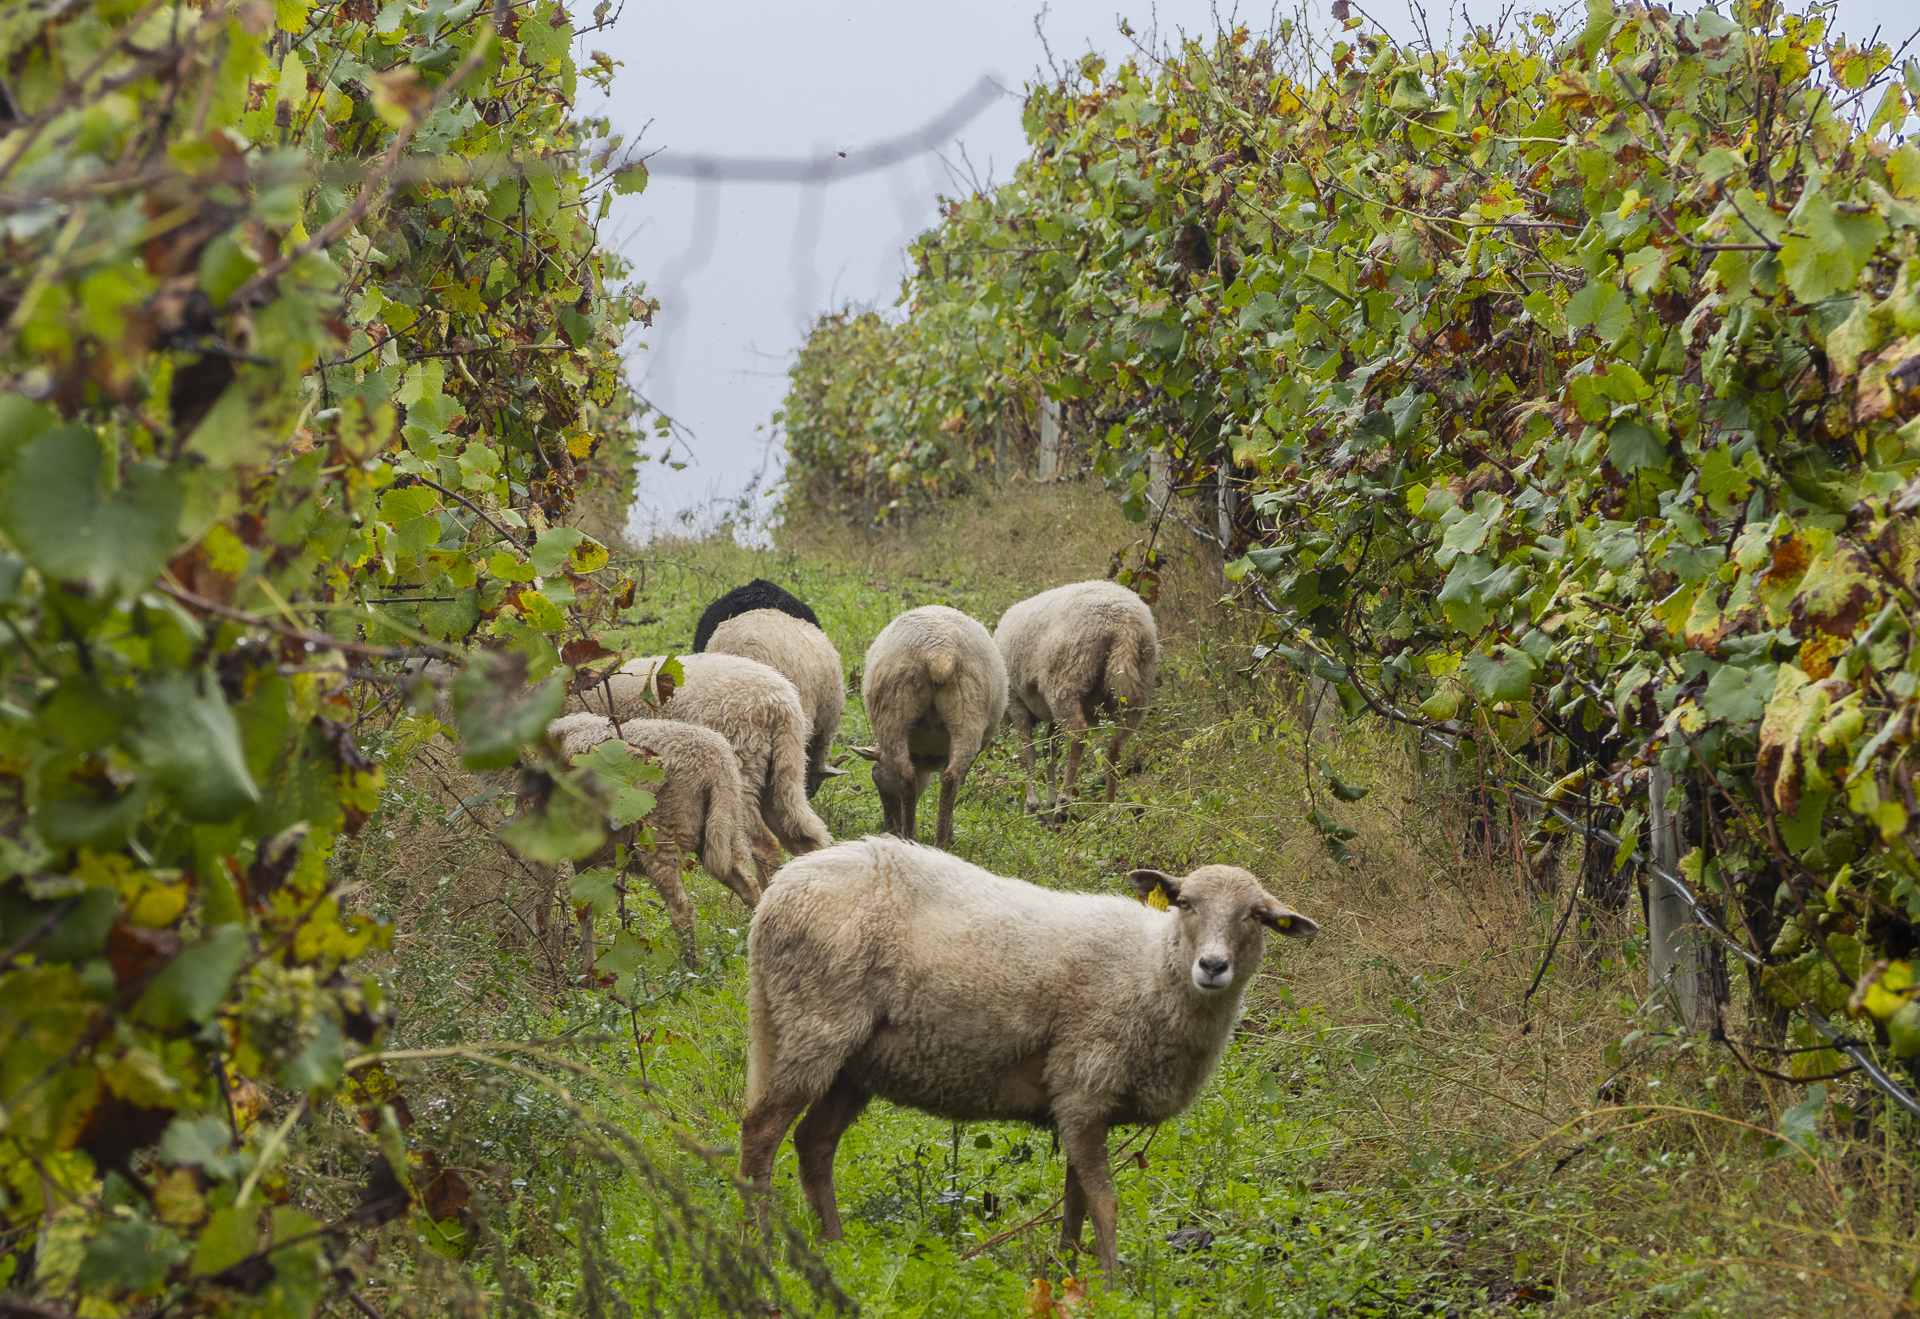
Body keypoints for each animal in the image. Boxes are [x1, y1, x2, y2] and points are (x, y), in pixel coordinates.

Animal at [737, 837, 1320, 1282]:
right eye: (1186, 903)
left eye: (1256, 917)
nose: (1213, 966)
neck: (1152, 968)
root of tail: (779, 890)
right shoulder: (1085, 1086)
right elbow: (1103, 1201)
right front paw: (1113, 1285)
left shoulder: (1077, 1100)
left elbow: (1075, 1197)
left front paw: (1065, 1273)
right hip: (813, 1024)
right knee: (761, 1133)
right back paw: (758, 1247)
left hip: (850, 1060)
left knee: (814, 1143)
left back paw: (835, 1249)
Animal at [852, 606, 1006, 852]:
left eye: (876, 777)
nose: (888, 827)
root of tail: (939, 654)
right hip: (963, 715)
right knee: (941, 778)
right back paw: (931, 841)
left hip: (901, 713)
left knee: (920, 777)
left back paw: (921, 839)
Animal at [998, 575, 1159, 814]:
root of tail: (1125, 626)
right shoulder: (1050, 716)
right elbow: (1050, 750)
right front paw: (1049, 797)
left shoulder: (1017, 702)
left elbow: (1030, 752)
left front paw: (1032, 803)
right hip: (1134, 691)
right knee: (1115, 746)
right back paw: (1109, 810)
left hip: (1065, 679)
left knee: (1079, 733)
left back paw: (1063, 803)